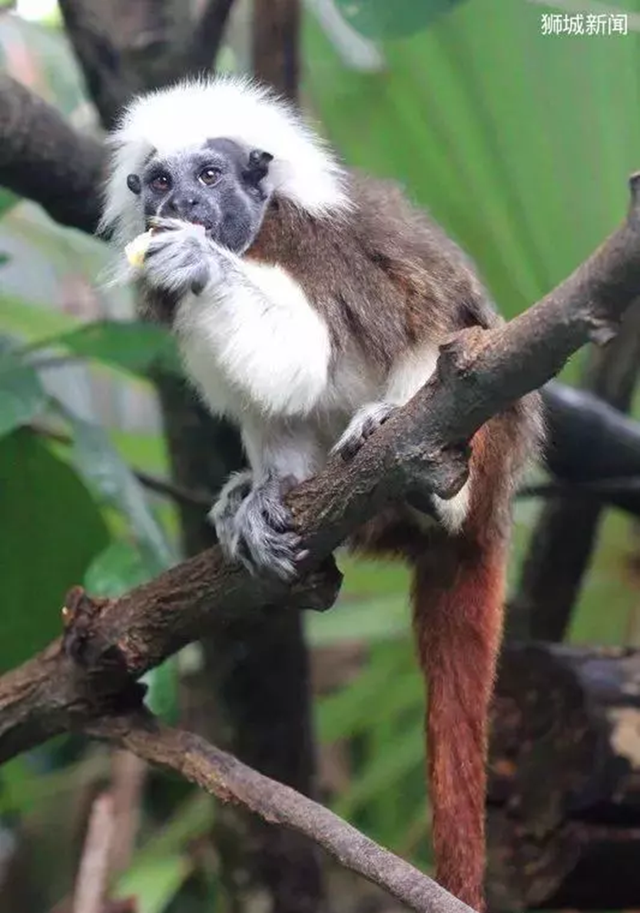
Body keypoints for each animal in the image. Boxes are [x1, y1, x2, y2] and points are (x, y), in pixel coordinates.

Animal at [101, 75, 544, 908]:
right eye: (162, 181)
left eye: (211, 174)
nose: (186, 205)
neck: (251, 234)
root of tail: (500, 508)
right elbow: (275, 402)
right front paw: (264, 490)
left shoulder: (312, 248)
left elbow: (310, 353)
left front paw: (202, 262)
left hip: (493, 430)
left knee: (442, 338)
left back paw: (416, 460)